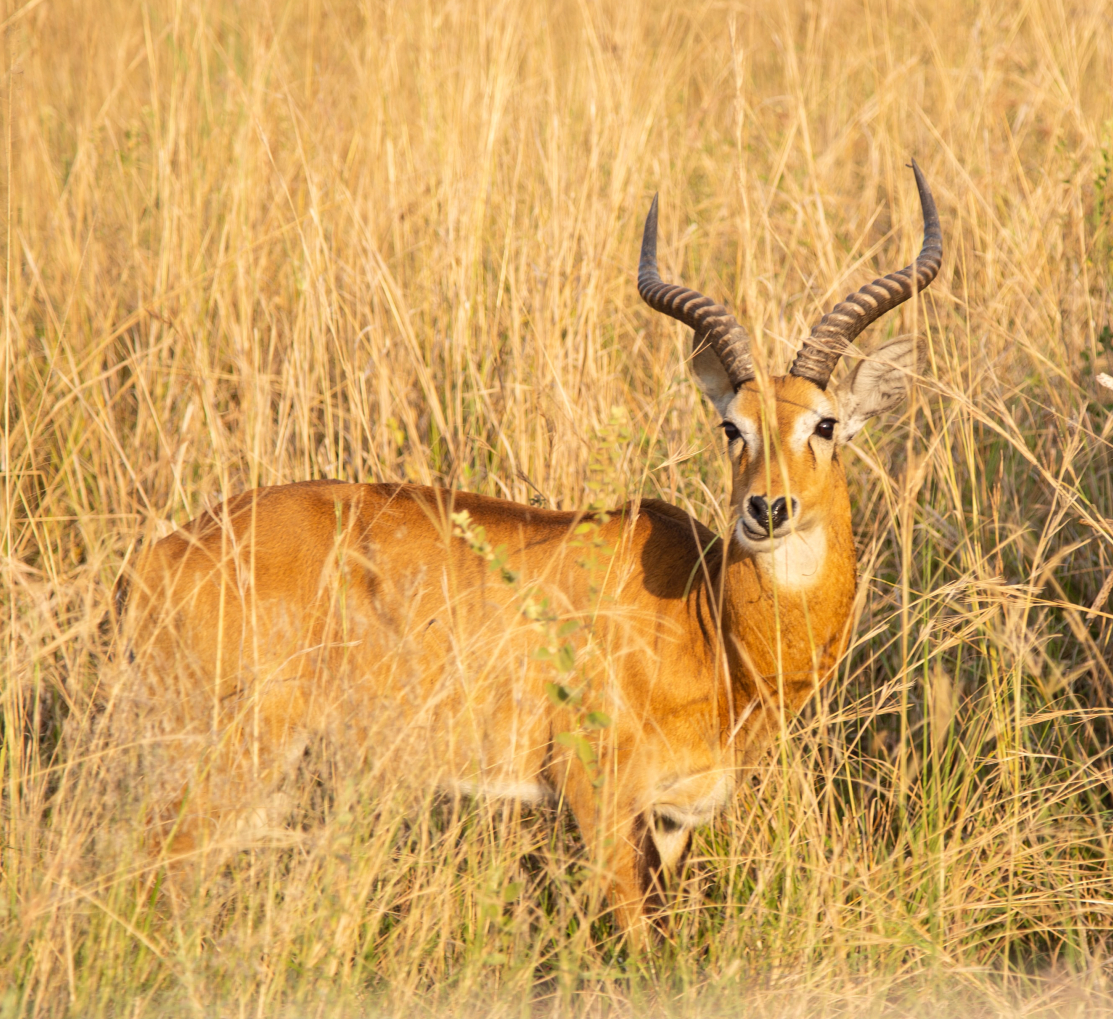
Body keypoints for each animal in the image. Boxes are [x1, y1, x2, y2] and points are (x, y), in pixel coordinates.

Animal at [120, 161, 941, 934]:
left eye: (825, 424)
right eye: (730, 426)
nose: (766, 508)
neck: (707, 622)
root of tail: (163, 554)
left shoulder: (674, 817)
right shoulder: (598, 799)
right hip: (231, 760)